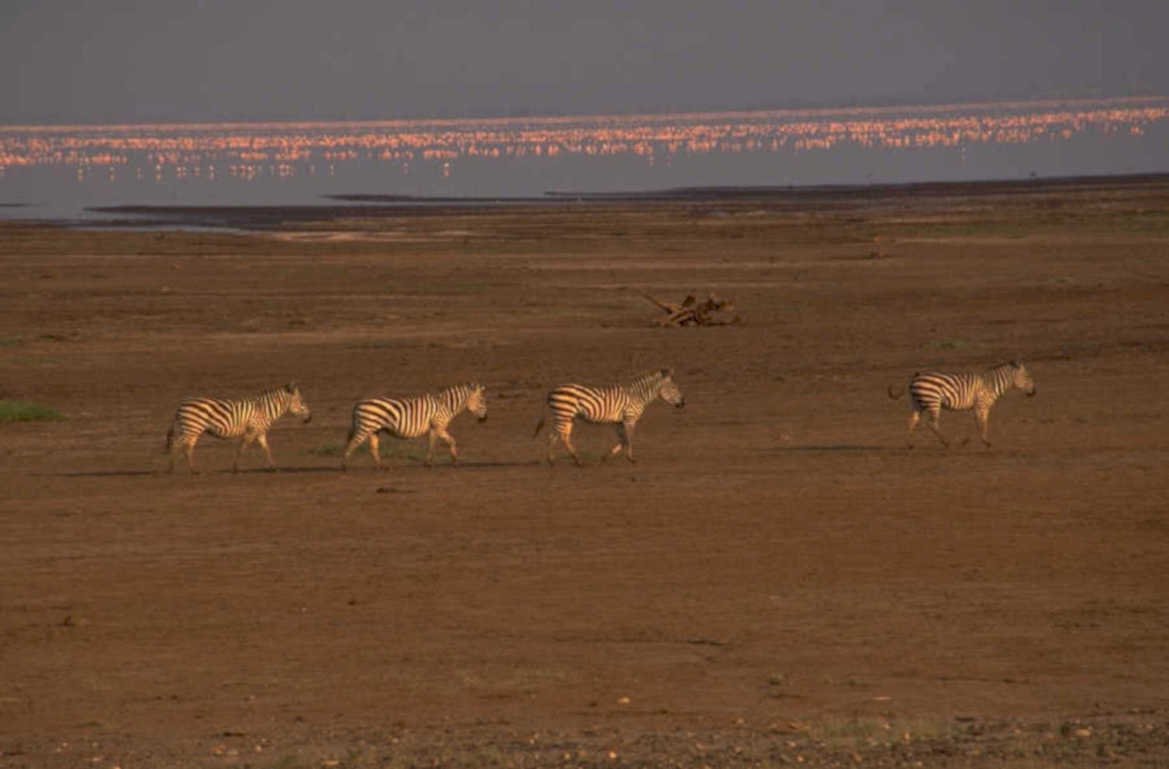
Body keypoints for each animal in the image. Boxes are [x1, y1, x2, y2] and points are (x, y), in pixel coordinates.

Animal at [165, 382, 312, 473]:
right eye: (302, 401)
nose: (310, 418)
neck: (264, 410)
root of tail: (181, 404)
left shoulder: (260, 432)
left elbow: (267, 449)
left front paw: (274, 468)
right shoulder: (252, 430)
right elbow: (242, 448)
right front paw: (236, 469)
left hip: (193, 430)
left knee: (187, 447)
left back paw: (194, 470)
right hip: (191, 428)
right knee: (177, 444)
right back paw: (171, 469)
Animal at [341, 382, 487, 470]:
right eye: (481, 400)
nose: (485, 419)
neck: (446, 405)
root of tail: (358, 403)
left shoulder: (434, 427)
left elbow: (434, 443)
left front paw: (430, 463)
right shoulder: (439, 425)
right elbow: (449, 440)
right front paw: (454, 461)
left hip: (373, 429)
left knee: (373, 447)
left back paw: (382, 466)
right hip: (365, 427)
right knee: (352, 443)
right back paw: (345, 466)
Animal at [534, 368, 685, 466]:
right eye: (674, 388)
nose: (683, 403)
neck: (637, 395)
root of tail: (551, 391)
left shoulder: (618, 421)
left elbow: (623, 440)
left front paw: (606, 457)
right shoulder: (630, 418)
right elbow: (629, 438)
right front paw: (631, 458)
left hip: (567, 417)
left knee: (560, 436)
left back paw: (563, 460)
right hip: (564, 414)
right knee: (557, 436)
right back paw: (566, 460)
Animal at [889, 360, 1036, 448]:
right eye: (1028, 376)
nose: (1034, 392)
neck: (991, 384)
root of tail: (915, 378)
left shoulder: (978, 406)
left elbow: (979, 422)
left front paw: (968, 440)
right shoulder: (982, 404)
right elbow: (982, 422)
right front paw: (986, 441)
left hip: (916, 402)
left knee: (912, 420)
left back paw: (909, 444)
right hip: (933, 401)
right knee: (932, 423)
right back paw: (946, 442)